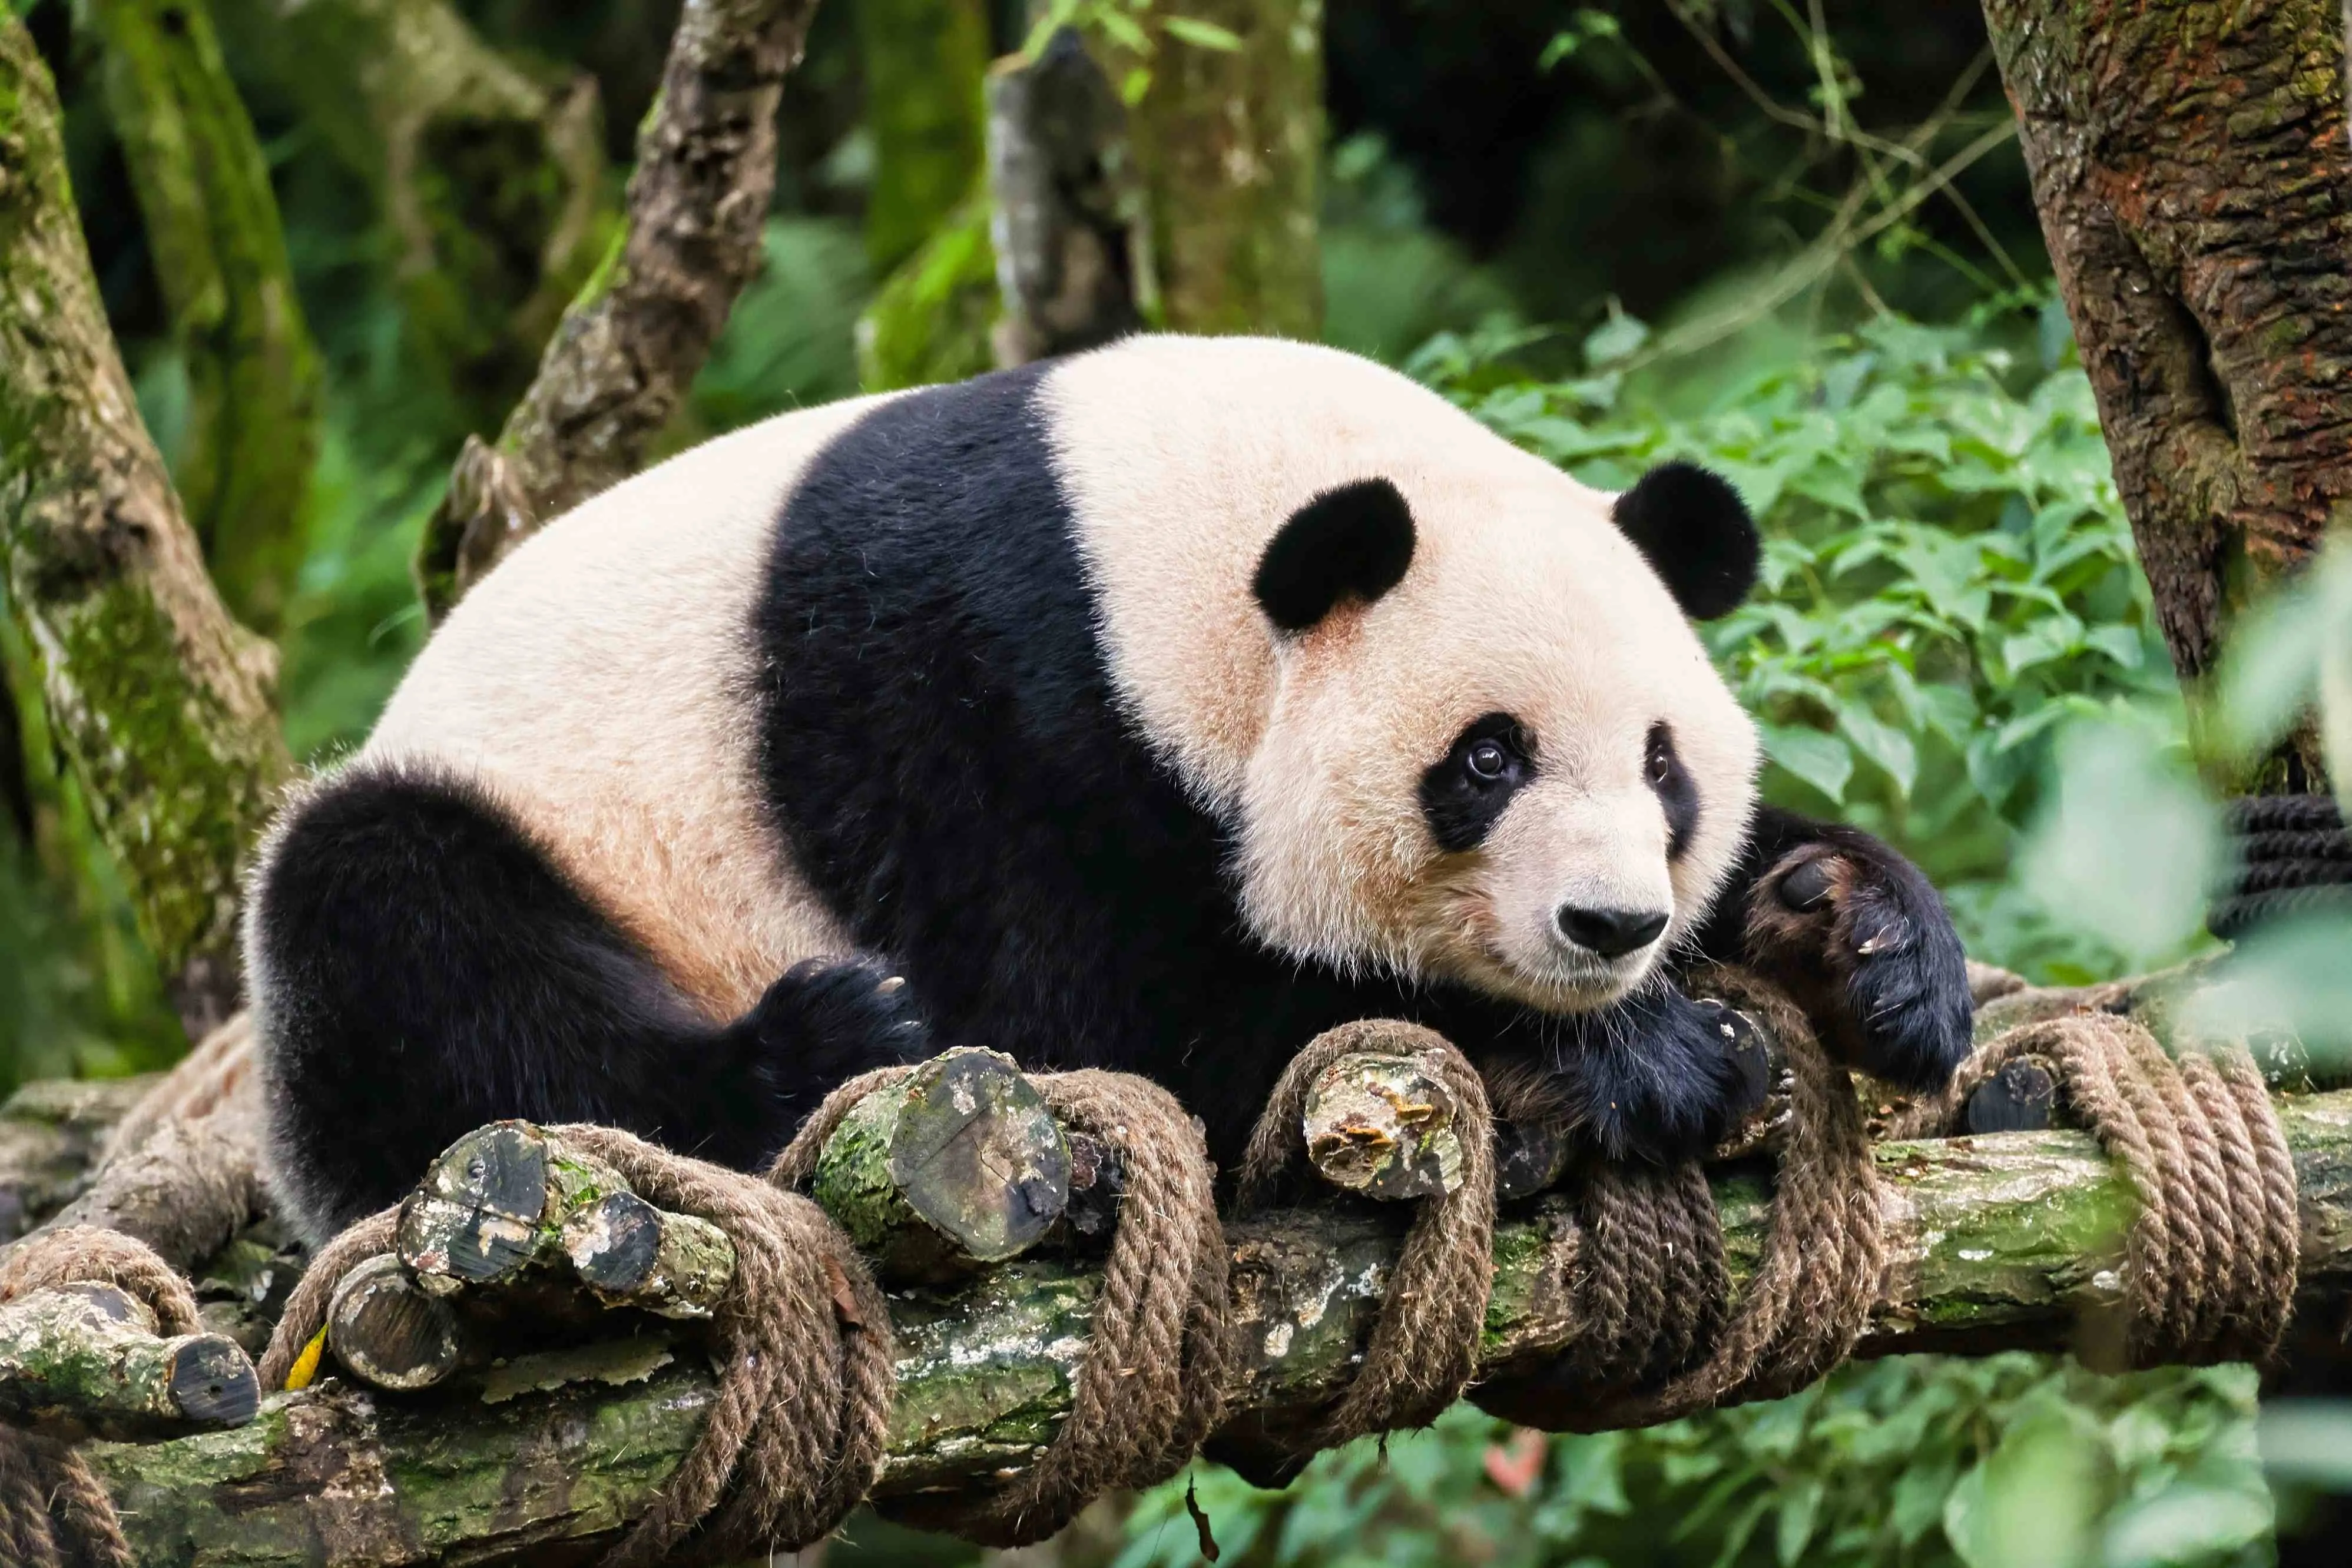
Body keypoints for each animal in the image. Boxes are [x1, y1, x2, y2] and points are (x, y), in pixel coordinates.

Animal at [246, 336, 1972, 1239]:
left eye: (1663, 765)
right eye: (1487, 759)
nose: (1611, 928)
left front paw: (1860, 936)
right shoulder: (991, 702)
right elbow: (1122, 1015)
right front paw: (1640, 1054)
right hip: (530, 837)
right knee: (405, 930)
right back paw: (814, 1039)